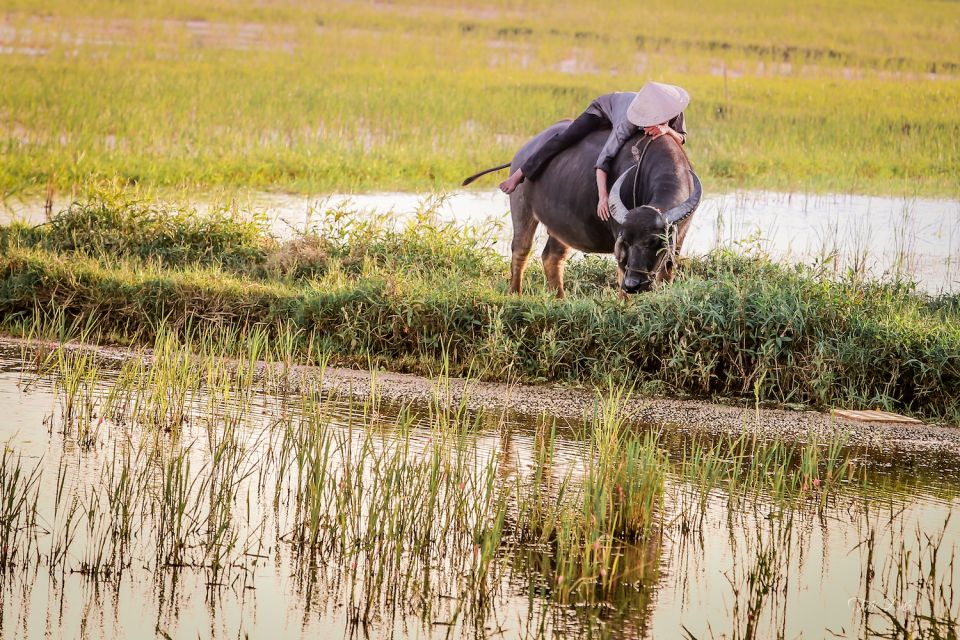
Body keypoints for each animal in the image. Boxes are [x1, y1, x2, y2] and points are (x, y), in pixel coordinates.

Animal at [462, 121, 700, 296]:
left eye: (654, 242)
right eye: (626, 242)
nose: (634, 284)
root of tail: (522, 153)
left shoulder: (679, 238)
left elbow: (667, 272)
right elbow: (621, 276)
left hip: (561, 225)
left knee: (552, 256)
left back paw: (560, 299)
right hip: (522, 208)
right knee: (521, 249)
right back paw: (515, 294)